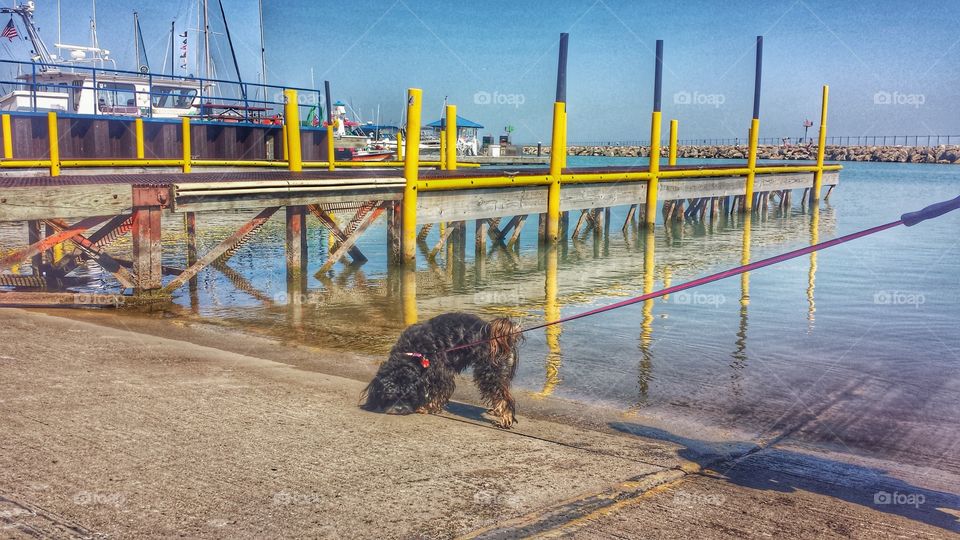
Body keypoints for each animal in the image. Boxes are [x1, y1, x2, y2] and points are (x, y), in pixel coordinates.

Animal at [362, 314, 524, 428]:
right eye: (390, 396)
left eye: (409, 396)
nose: (400, 410)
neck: (413, 352)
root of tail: (492, 332)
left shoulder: (440, 373)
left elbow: (437, 393)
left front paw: (425, 407)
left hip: (489, 371)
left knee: (504, 397)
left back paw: (505, 419)